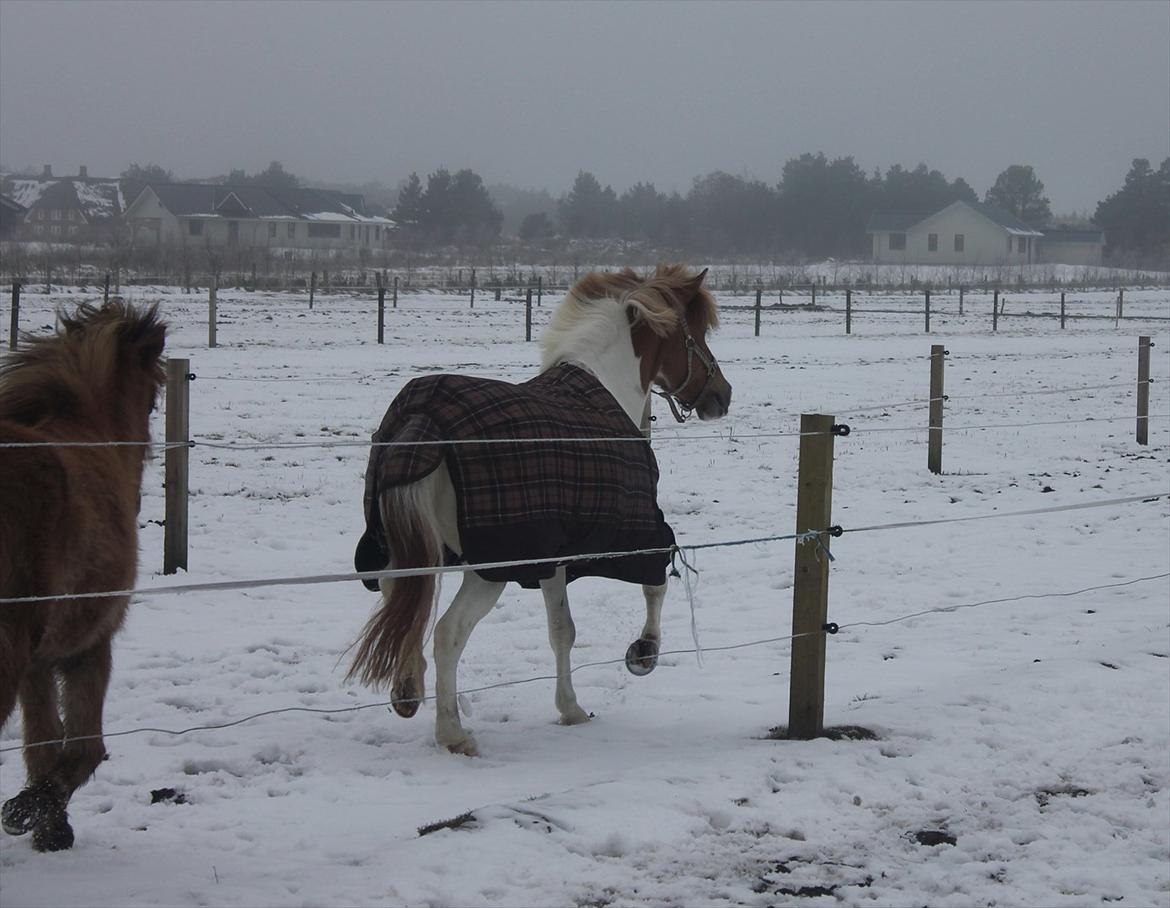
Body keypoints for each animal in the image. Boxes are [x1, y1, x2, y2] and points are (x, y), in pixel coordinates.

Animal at [0, 299, 167, 851]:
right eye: (154, 396)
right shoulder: (91, 644)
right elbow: (84, 748)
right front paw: (29, 813)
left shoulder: (39, 659)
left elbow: (43, 743)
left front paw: (49, 828)